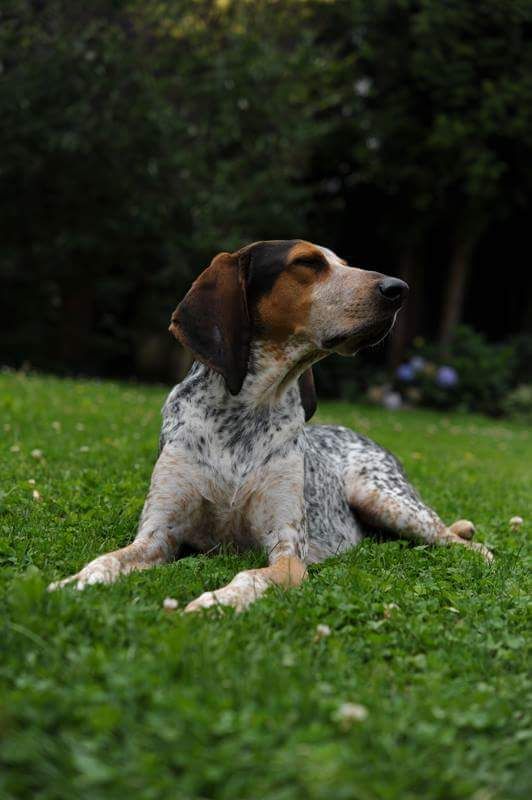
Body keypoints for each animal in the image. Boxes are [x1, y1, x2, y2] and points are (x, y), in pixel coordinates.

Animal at [48, 241, 490, 608]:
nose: (399, 289)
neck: (247, 411)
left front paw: (216, 602)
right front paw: (72, 583)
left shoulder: (287, 552)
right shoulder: (158, 535)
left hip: (384, 498)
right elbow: (103, 561)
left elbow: (250, 576)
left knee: (464, 543)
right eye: (307, 262)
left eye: (345, 264)